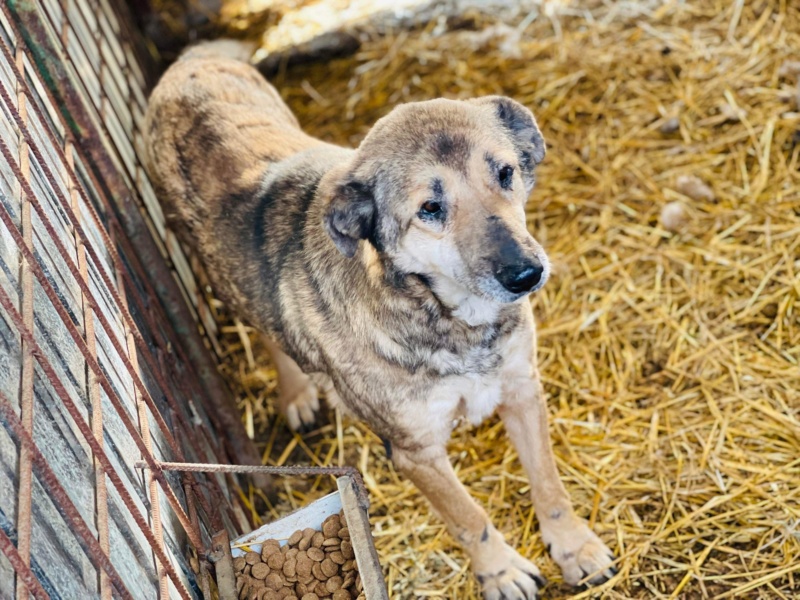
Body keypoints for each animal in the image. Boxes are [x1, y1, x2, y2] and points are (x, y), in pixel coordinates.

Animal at [145, 39, 620, 596]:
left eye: (505, 173)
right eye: (431, 208)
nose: (526, 274)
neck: (451, 320)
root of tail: (192, 58)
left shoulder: (522, 388)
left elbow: (550, 485)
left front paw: (575, 550)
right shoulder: (415, 450)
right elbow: (470, 519)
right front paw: (500, 573)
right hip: (216, 271)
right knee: (265, 330)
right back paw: (296, 392)